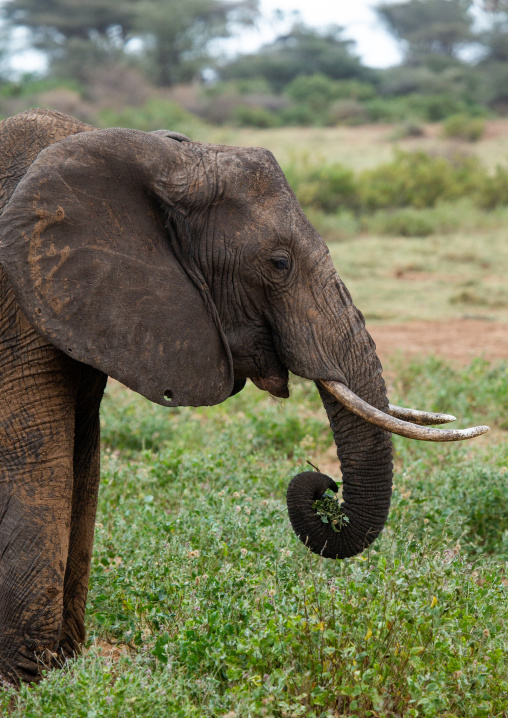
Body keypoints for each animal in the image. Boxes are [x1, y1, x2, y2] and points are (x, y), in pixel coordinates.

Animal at [0, 108, 488, 685]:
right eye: (279, 264)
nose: (322, 483)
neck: (160, 156)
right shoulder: (17, 311)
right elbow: (39, 468)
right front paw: (29, 685)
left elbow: (83, 466)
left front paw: (62, 676)